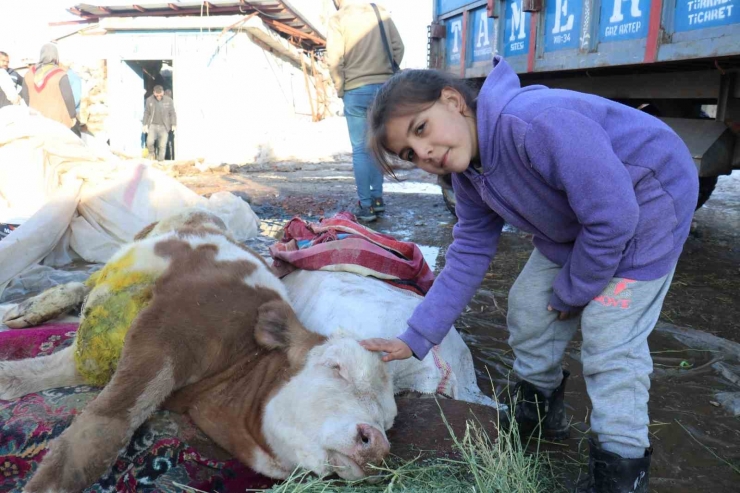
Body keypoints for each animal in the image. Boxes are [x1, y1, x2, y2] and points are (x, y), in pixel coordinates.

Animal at [0, 210, 396, 492]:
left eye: (388, 420)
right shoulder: (164, 334)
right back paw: (25, 310)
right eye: (336, 367)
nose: (376, 444)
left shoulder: (114, 355)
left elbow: (43, 372)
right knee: (83, 284)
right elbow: (96, 438)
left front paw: (8, 377)